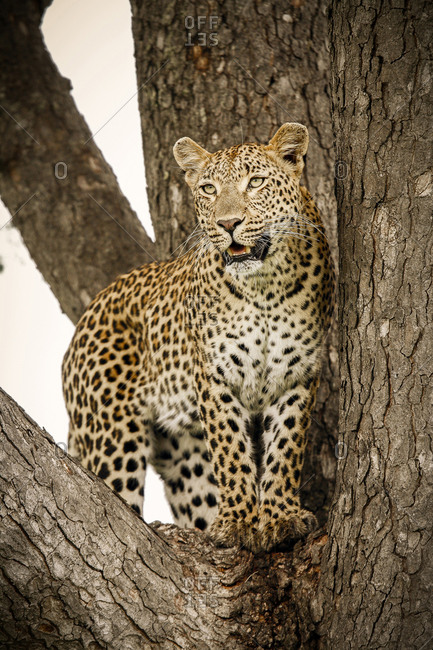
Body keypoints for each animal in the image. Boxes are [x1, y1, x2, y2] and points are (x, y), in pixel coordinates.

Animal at [62, 123, 335, 553]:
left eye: (256, 182)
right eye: (208, 189)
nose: (228, 223)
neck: (265, 287)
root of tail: (85, 319)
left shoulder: (297, 375)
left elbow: (285, 447)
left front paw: (280, 518)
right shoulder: (215, 375)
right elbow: (231, 450)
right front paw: (238, 523)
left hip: (182, 452)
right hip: (111, 437)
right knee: (113, 497)